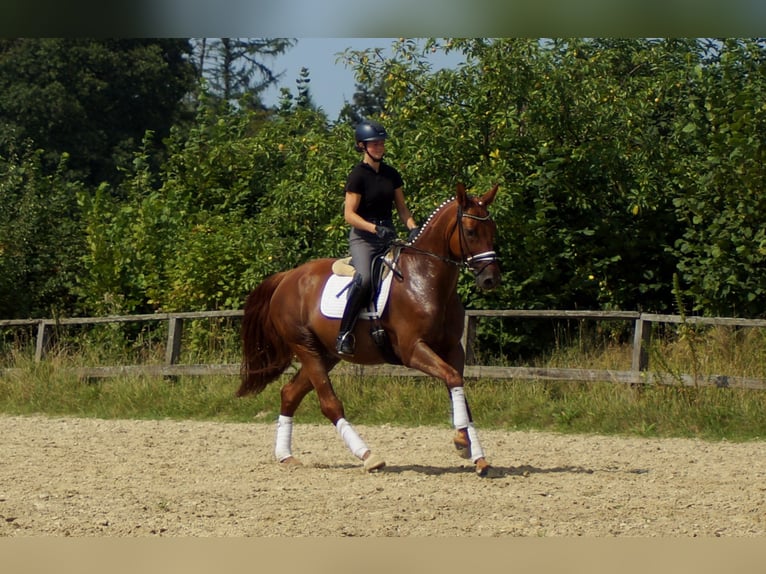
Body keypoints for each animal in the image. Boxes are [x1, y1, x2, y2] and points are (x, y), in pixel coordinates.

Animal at [240, 183, 504, 476]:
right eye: (470, 231)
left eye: (492, 229)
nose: (490, 279)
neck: (424, 278)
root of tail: (287, 277)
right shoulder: (413, 350)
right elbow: (453, 378)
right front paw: (461, 441)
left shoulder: (452, 349)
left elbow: (459, 389)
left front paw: (477, 455)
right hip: (304, 346)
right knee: (329, 404)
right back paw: (368, 456)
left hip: (325, 354)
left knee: (289, 394)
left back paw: (285, 456)